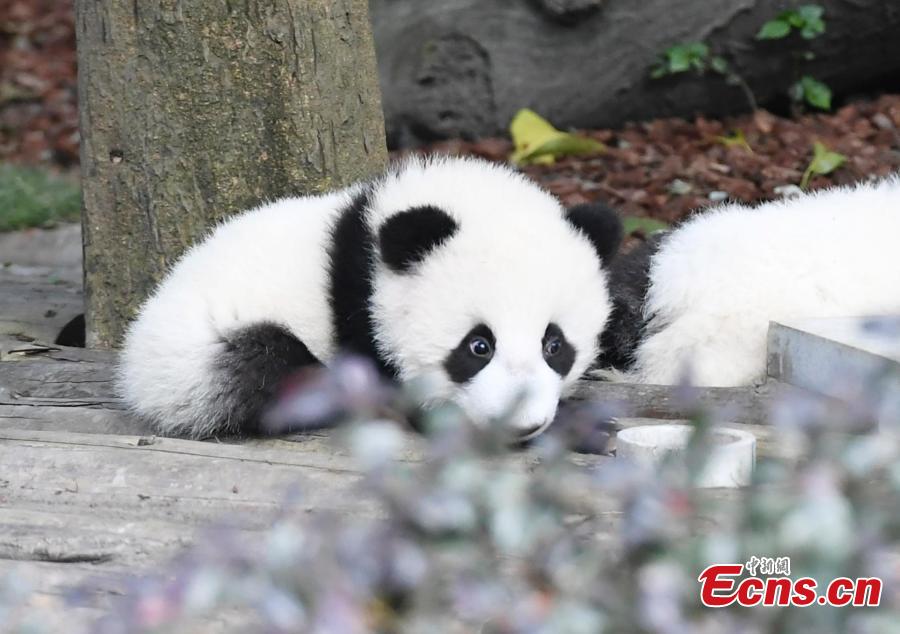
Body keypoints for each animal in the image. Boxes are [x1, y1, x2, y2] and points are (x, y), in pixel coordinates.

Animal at [118, 156, 623, 440]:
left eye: (554, 345)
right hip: (190, 362)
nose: (523, 424)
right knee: (258, 367)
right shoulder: (359, 308)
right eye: (478, 346)